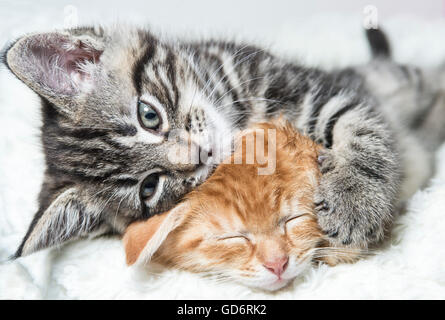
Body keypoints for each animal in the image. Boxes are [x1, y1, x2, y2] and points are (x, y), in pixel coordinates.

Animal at [1, 26, 442, 258]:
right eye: (149, 187)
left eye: (148, 115)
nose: (197, 154)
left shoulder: (317, 89)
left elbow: (361, 127)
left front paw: (355, 200)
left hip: (398, 79)